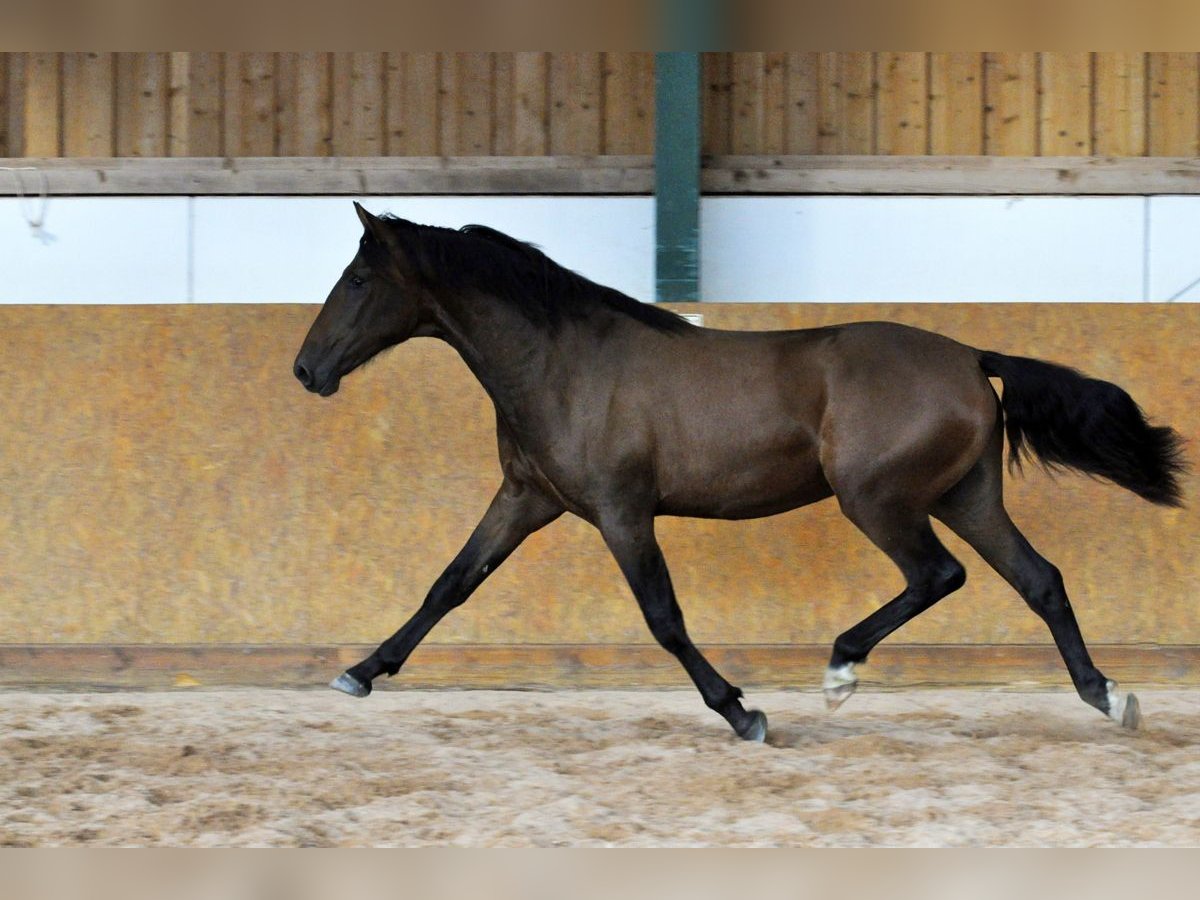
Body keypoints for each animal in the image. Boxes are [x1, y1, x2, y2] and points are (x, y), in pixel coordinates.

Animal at [295, 206, 1185, 748]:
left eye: (359, 280)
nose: (306, 370)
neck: (562, 363)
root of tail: (970, 357)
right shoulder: (528, 499)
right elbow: (449, 584)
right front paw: (359, 674)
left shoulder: (623, 512)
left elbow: (664, 619)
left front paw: (743, 713)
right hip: (967, 497)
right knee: (1039, 580)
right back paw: (1109, 696)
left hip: (878, 498)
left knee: (939, 574)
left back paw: (839, 672)